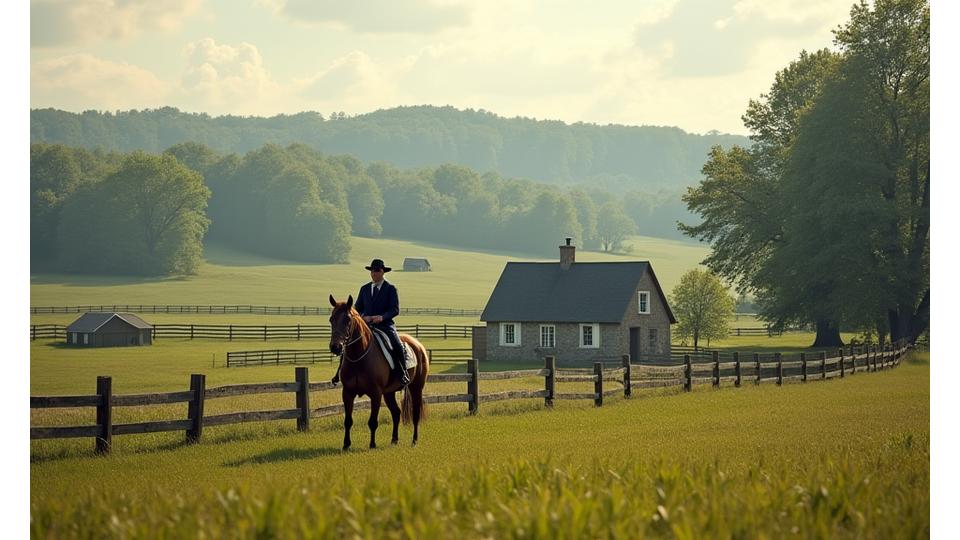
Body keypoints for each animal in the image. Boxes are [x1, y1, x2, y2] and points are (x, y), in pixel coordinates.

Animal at [328, 294, 429, 450]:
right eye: (331, 319)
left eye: (348, 320)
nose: (335, 347)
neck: (360, 356)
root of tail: (418, 345)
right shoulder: (348, 393)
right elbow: (348, 421)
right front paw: (346, 445)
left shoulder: (375, 394)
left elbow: (372, 422)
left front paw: (372, 444)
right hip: (389, 393)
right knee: (396, 413)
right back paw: (394, 440)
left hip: (416, 388)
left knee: (415, 414)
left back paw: (414, 441)